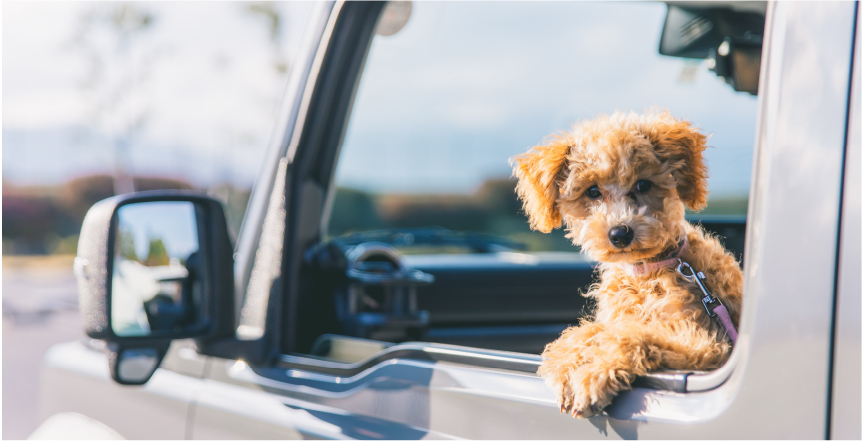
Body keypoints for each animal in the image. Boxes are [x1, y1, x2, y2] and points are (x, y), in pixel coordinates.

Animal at [512, 109, 744, 416]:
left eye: (643, 184)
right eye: (592, 191)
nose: (620, 233)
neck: (646, 272)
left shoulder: (703, 342)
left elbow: (632, 336)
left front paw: (592, 373)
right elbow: (588, 331)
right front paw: (566, 360)